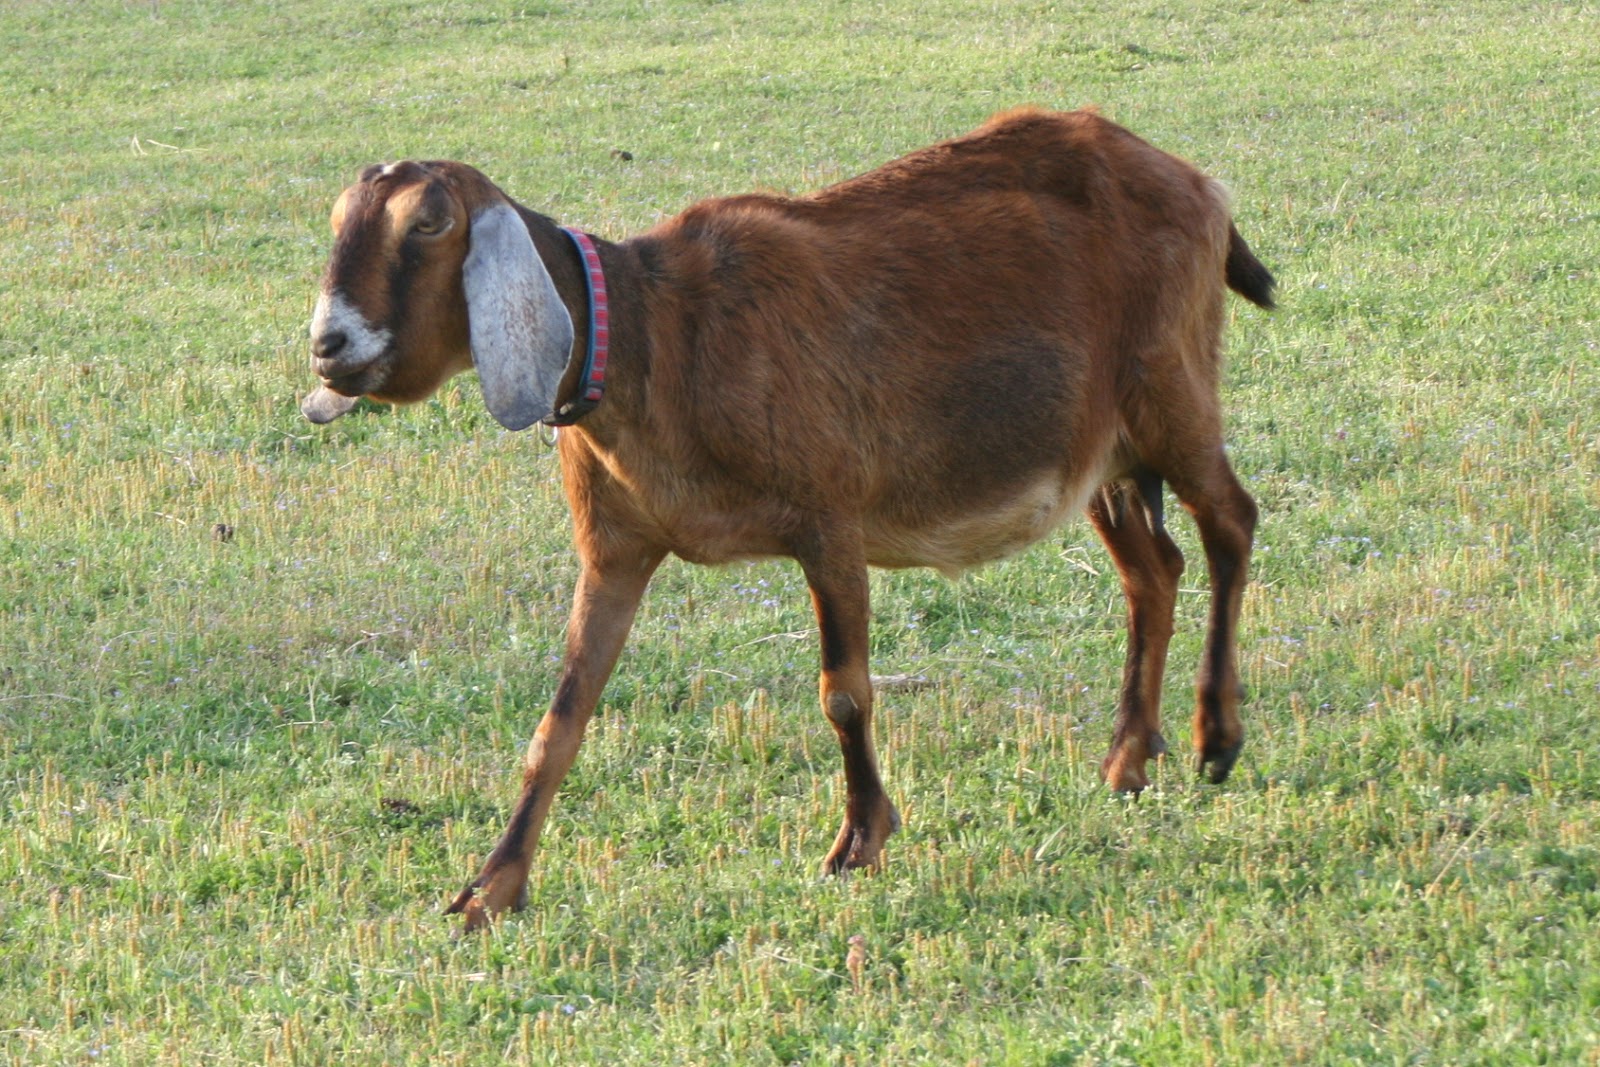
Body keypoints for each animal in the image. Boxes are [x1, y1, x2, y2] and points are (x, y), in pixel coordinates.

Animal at [302, 107, 1275, 931]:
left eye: (428, 225)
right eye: (342, 218)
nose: (329, 344)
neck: (657, 337)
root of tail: (1198, 184)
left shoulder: (830, 518)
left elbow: (844, 692)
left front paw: (860, 840)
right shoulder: (616, 549)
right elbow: (561, 719)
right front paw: (490, 889)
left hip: (1174, 387)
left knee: (1232, 521)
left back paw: (1216, 737)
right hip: (1104, 451)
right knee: (1153, 570)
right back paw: (1128, 760)